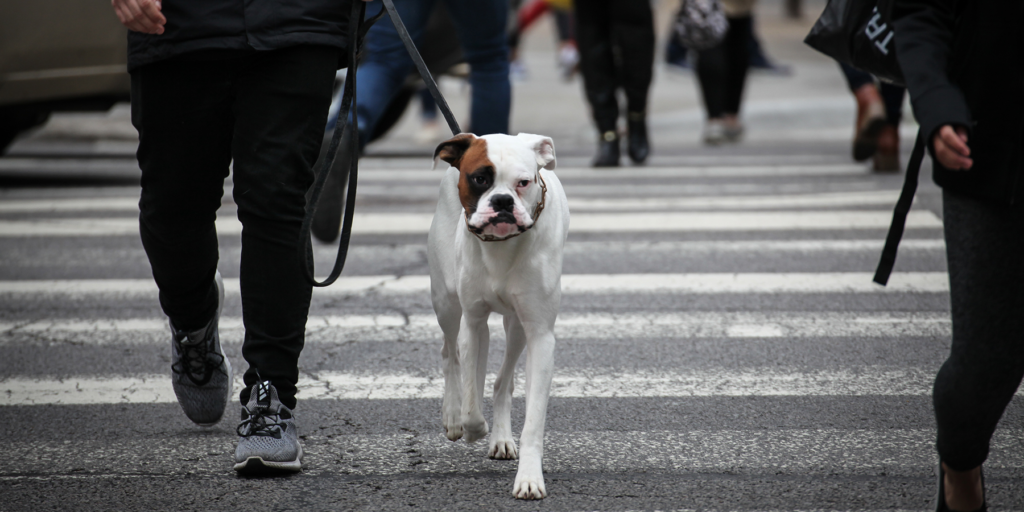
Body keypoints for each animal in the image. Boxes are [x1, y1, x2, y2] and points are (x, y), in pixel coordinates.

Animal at [423, 132, 569, 499]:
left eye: (523, 182)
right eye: (479, 179)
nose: (502, 201)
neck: (502, 247)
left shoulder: (540, 335)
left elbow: (533, 420)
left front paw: (529, 477)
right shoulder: (473, 322)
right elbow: (471, 398)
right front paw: (471, 425)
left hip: (515, 326)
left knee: (502, 381)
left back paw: (501, 437)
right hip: (447, 303)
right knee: (450, 355)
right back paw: (453, 416)